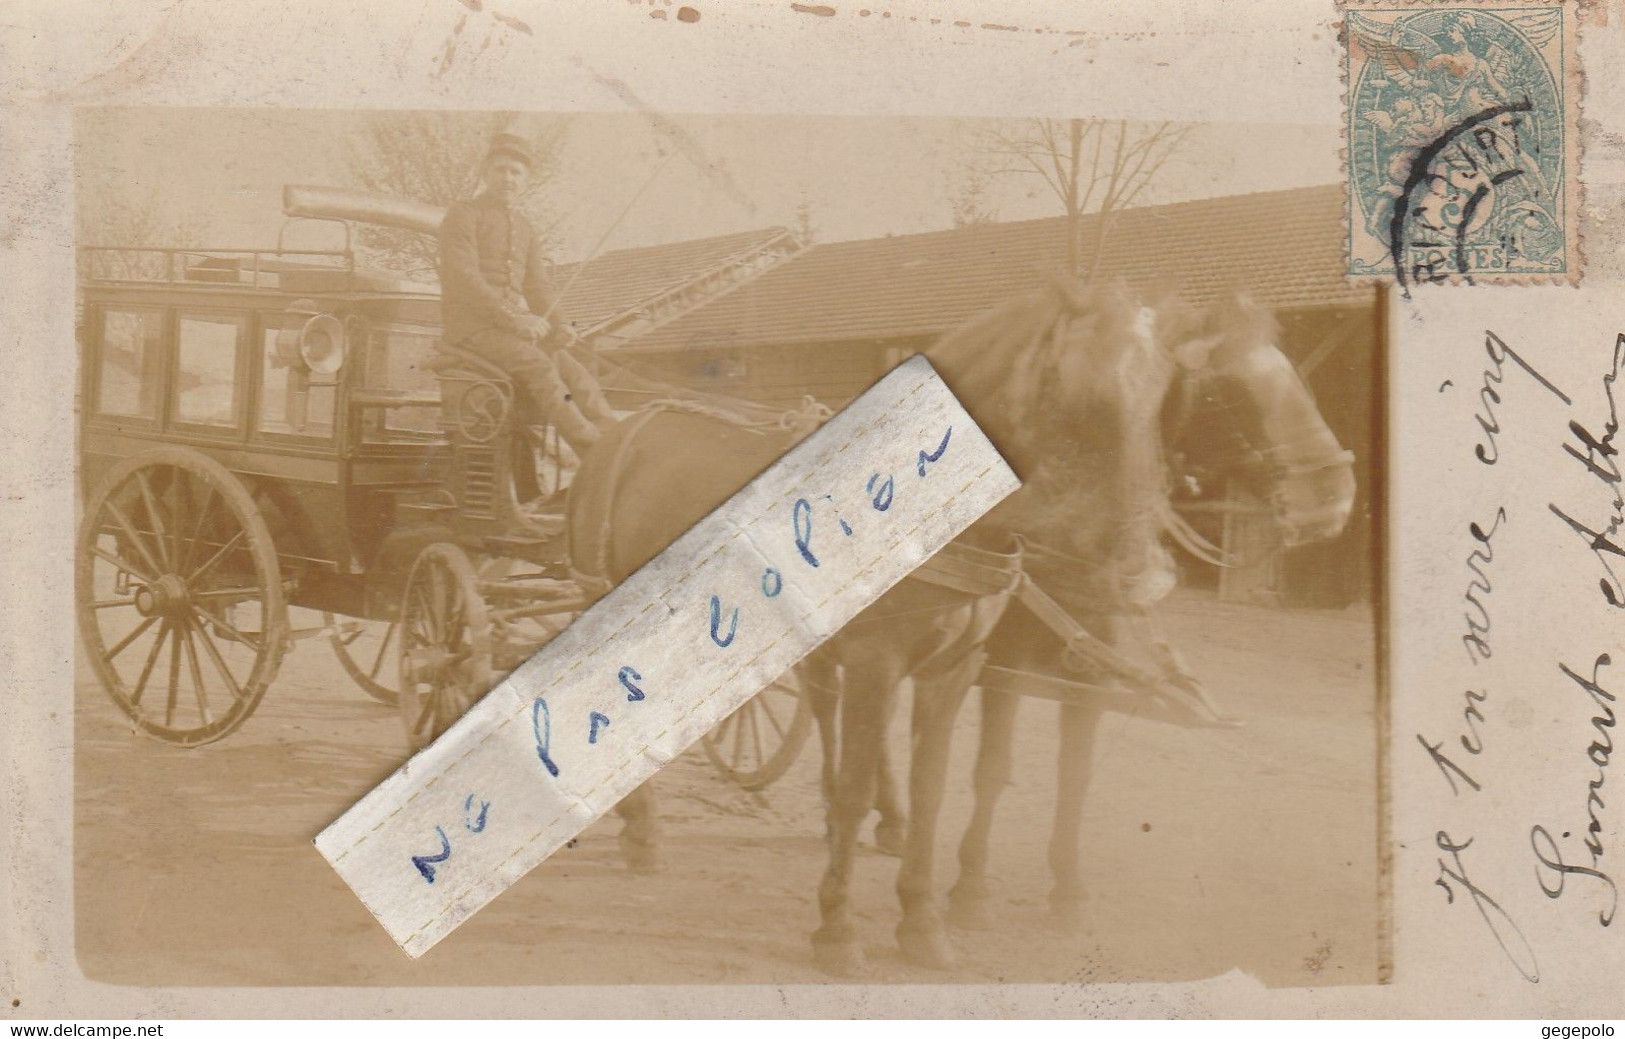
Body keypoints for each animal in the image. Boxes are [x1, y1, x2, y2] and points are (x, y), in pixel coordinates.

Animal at [565, 282, 1352, 975]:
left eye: (1161, 394)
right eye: (1223, 392)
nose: (1333, 499)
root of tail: (623, 425)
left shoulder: (969, 667)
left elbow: (956, 784)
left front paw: (925, 920)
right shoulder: (891, 662)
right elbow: (900, 780)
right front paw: (840, 926)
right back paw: (643, 830)